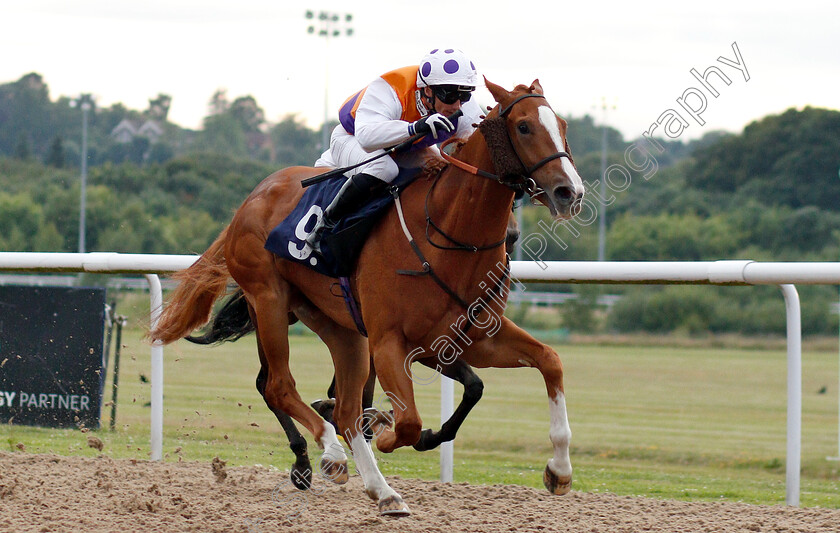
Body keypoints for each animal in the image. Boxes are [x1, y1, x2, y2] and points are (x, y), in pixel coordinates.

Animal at [151, 79, 584, 516]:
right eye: (524, 126)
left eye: (563, 125)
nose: (570, 191)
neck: (447, 236)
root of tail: (250, 199)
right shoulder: (391, 341)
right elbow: (408, 420)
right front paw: (389, 431)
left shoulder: (473, 338)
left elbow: (549, 361)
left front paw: (560, 470)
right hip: (269, 301)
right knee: (279, 386)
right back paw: (329, 454)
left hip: (339, 329)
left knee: (342, 407)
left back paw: (381, 489)